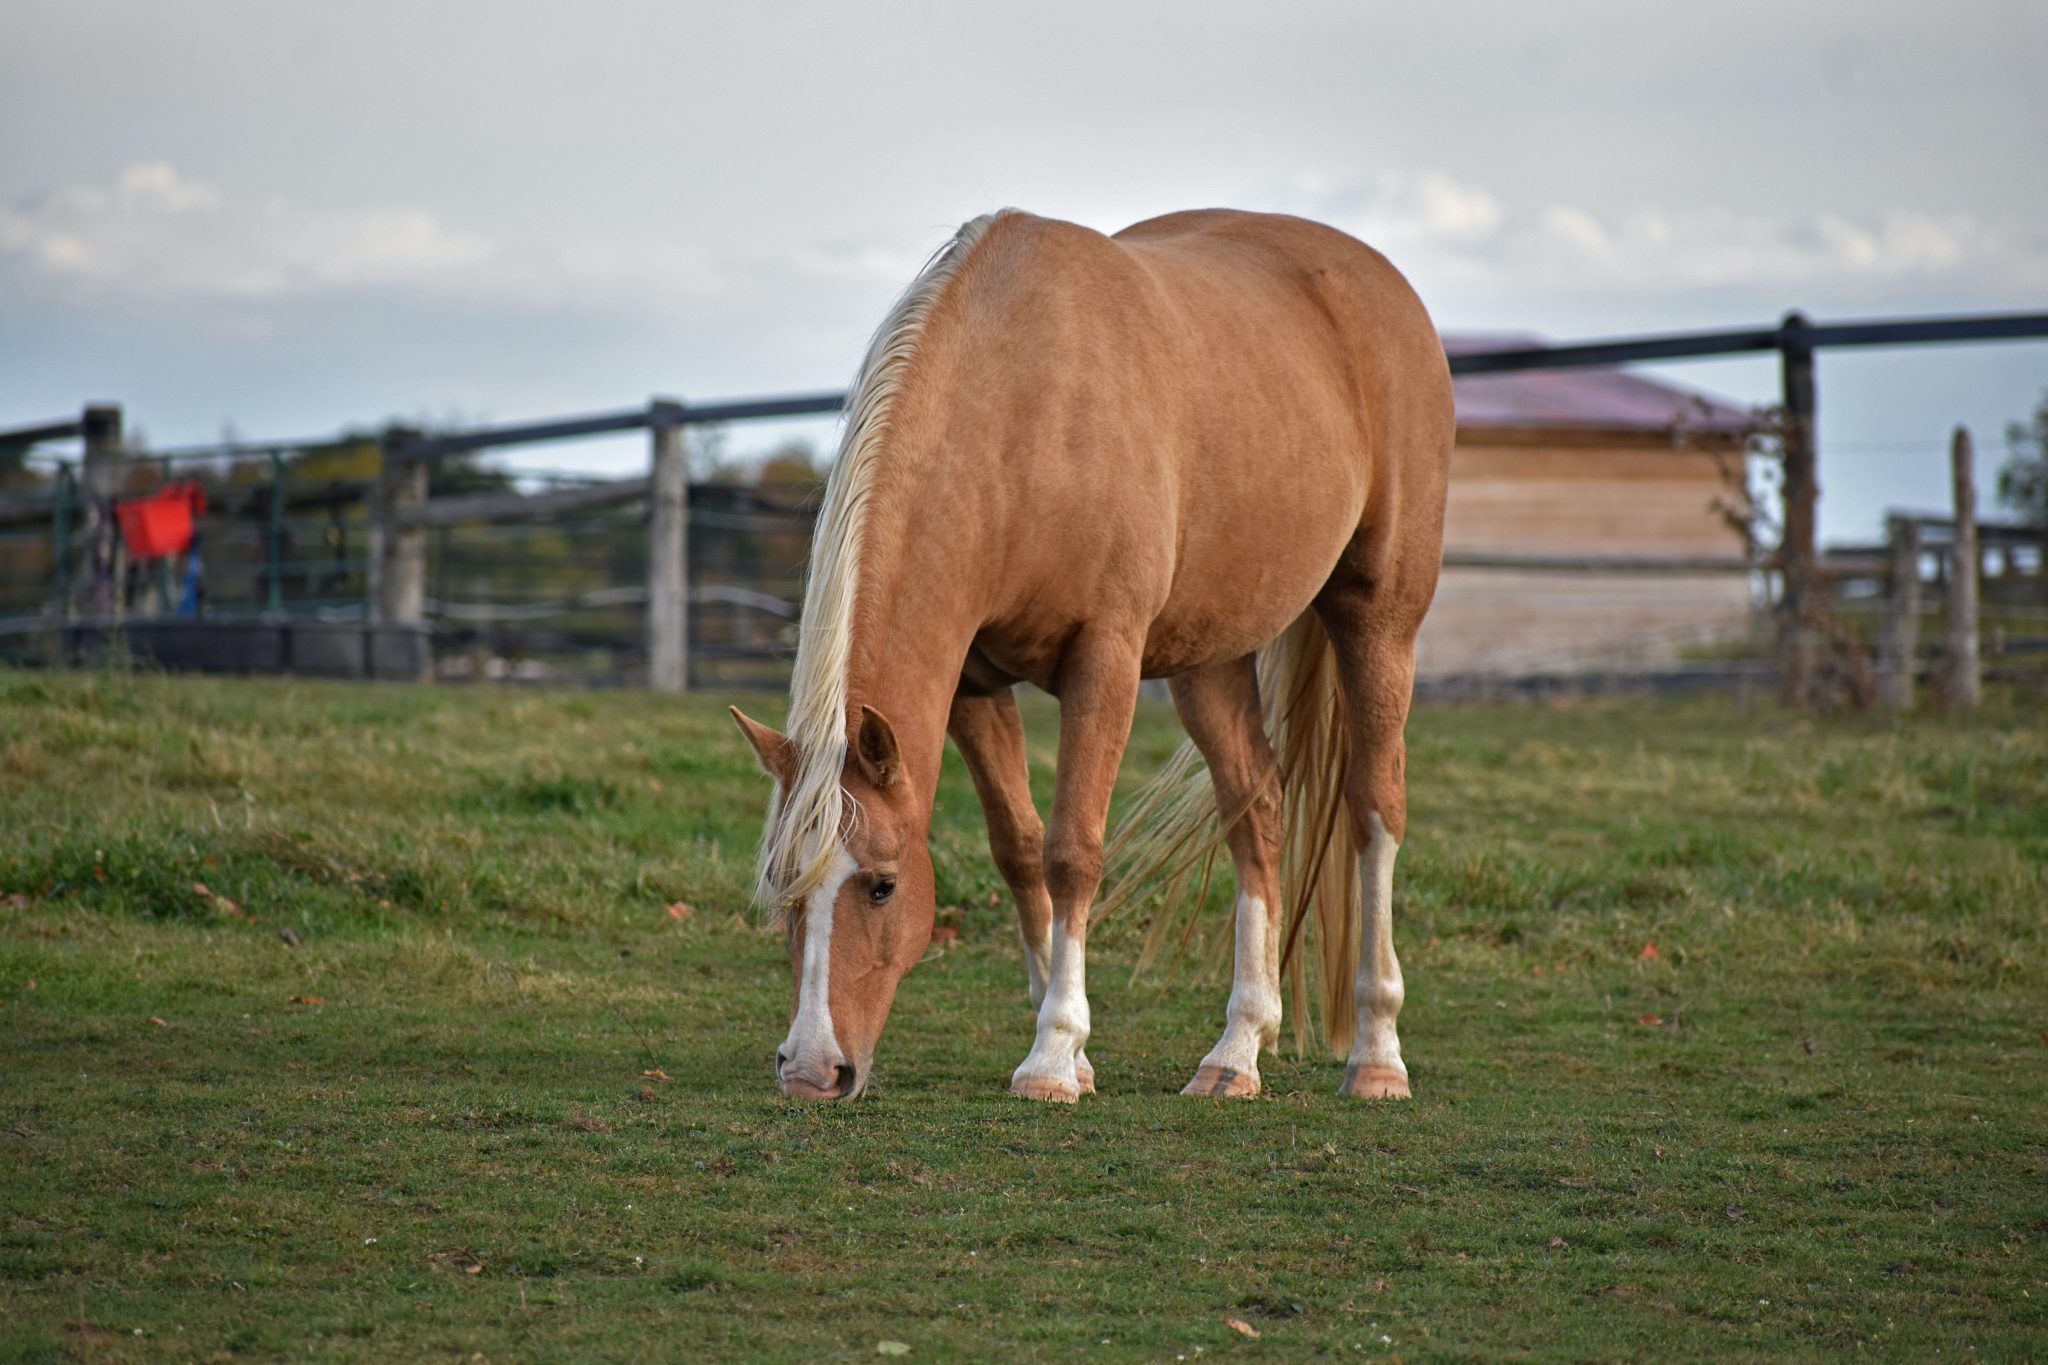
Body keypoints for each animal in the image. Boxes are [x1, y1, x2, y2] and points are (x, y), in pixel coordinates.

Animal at [730, 207, 1452, 1102]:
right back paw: (1236, 1050)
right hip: (1209, 658)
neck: (1022, 407)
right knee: (1257, 808)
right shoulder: (972, 683)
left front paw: (1050, 1054)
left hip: (1379, 619)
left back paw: (1378, 1053)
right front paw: (1072, 1049)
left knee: (1375, 808)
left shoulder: (1102, 659)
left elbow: (1072, 849)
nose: (810, 1069)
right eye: (781, 883)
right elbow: (1018, 848)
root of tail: (1382, 284)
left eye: (883, 884)